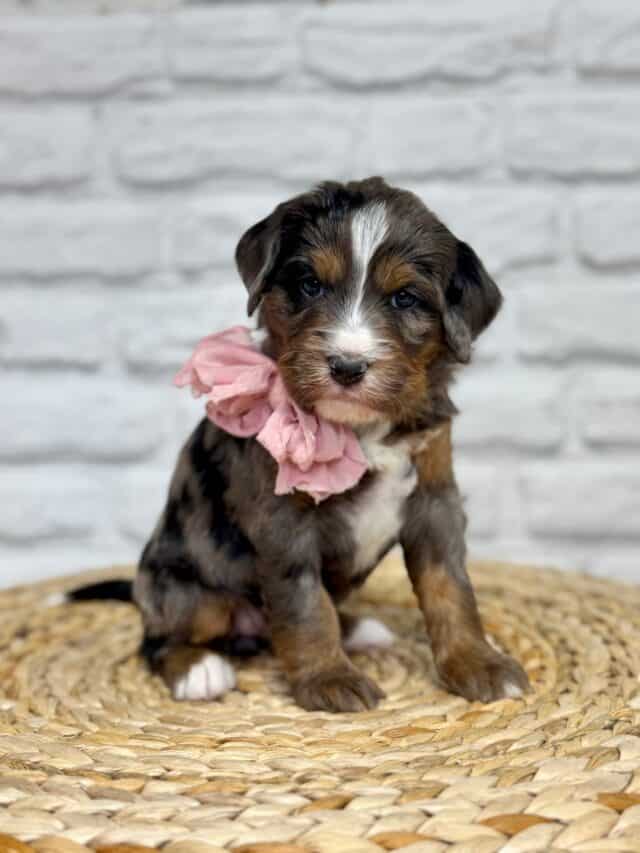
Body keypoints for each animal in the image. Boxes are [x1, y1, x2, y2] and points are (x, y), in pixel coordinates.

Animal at [71, 176, 528, 708]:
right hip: (186, 588)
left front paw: (477, 661)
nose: (347, 367)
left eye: (404, 299)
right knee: (159, 637)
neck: (360, 429)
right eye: (311, 285)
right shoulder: (283, 518)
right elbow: (305, 603)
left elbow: (450, 587)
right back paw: (198, 670)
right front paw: (329, 678)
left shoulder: (435, 500)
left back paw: (359, 628)